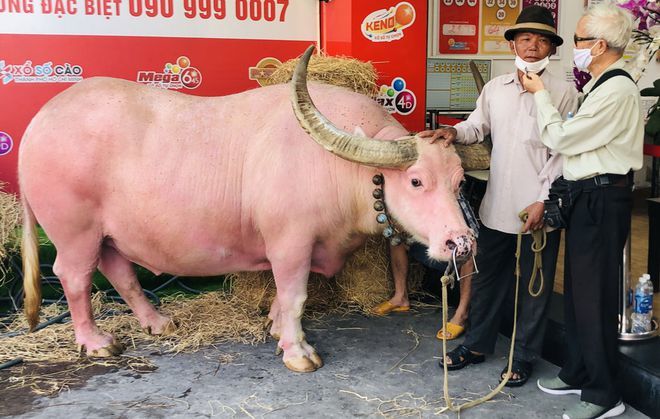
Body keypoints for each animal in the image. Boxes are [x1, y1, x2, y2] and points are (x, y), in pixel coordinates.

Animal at [20, 46, 474, 372]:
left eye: (459, 181)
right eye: (416, 181)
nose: (461, 242)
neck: (335, 167)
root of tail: (41, 120)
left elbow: (284, 297)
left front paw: (274, 326)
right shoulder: (290, 243)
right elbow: (295, 294)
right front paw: (297, 351)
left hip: (107, 234)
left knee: (119, 271)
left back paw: (159, 322)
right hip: (75, 233)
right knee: (74, 277)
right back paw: (96, 343)